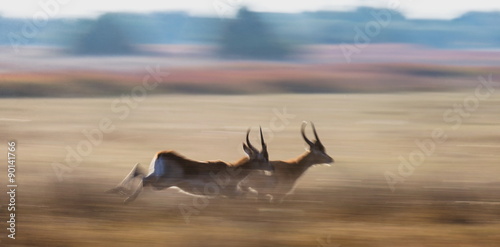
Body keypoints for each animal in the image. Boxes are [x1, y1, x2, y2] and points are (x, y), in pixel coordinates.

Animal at [106, 127, 274, 203]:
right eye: (263, 158)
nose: (272, 167)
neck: (232, 171)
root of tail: (162, 154)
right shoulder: (230, 193)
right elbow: (247, 195)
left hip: (157, 176)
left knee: (138, 170)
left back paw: (117, 191)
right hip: (162, 182)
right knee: (144, 179)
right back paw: (127, 199)